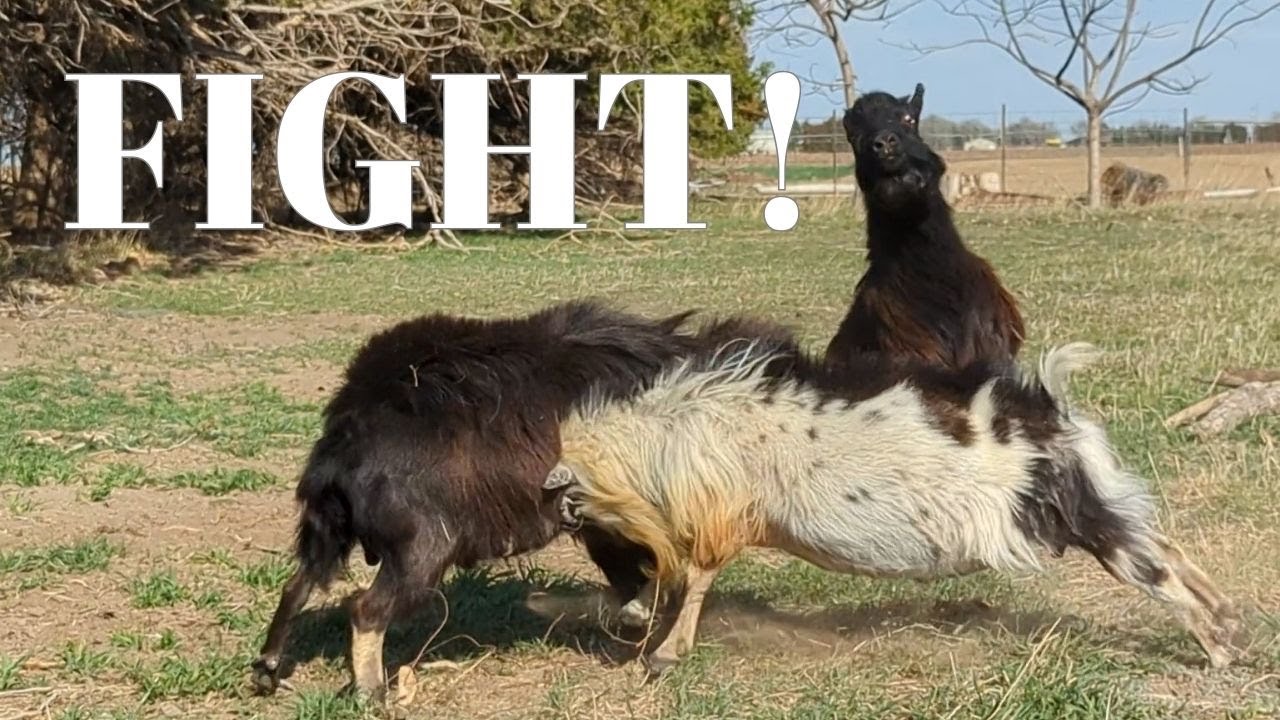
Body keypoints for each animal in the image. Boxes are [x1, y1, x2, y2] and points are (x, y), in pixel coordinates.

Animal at [251, 300, 789, 697]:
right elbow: (673, 569)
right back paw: (370, 690)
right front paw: (654, 638)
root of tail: (344, 437)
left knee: (298, 583)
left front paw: (639, 623)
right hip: (422, 547)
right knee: (365, 608)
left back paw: (268, 667)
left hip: (329, 531)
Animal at [545, 340, 1241, 675]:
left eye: (572, 498)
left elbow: (697, 577)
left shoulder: (717, 515)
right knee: (1163, 542)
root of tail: (1052, 412)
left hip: (1068, 513)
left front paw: (666, 652)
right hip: (1091, 500)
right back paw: (1232, 619)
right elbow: (684, 578)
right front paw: (645, 622)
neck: (667, 437)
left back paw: (1218, 648)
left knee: (1156, 567)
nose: (564, 516)